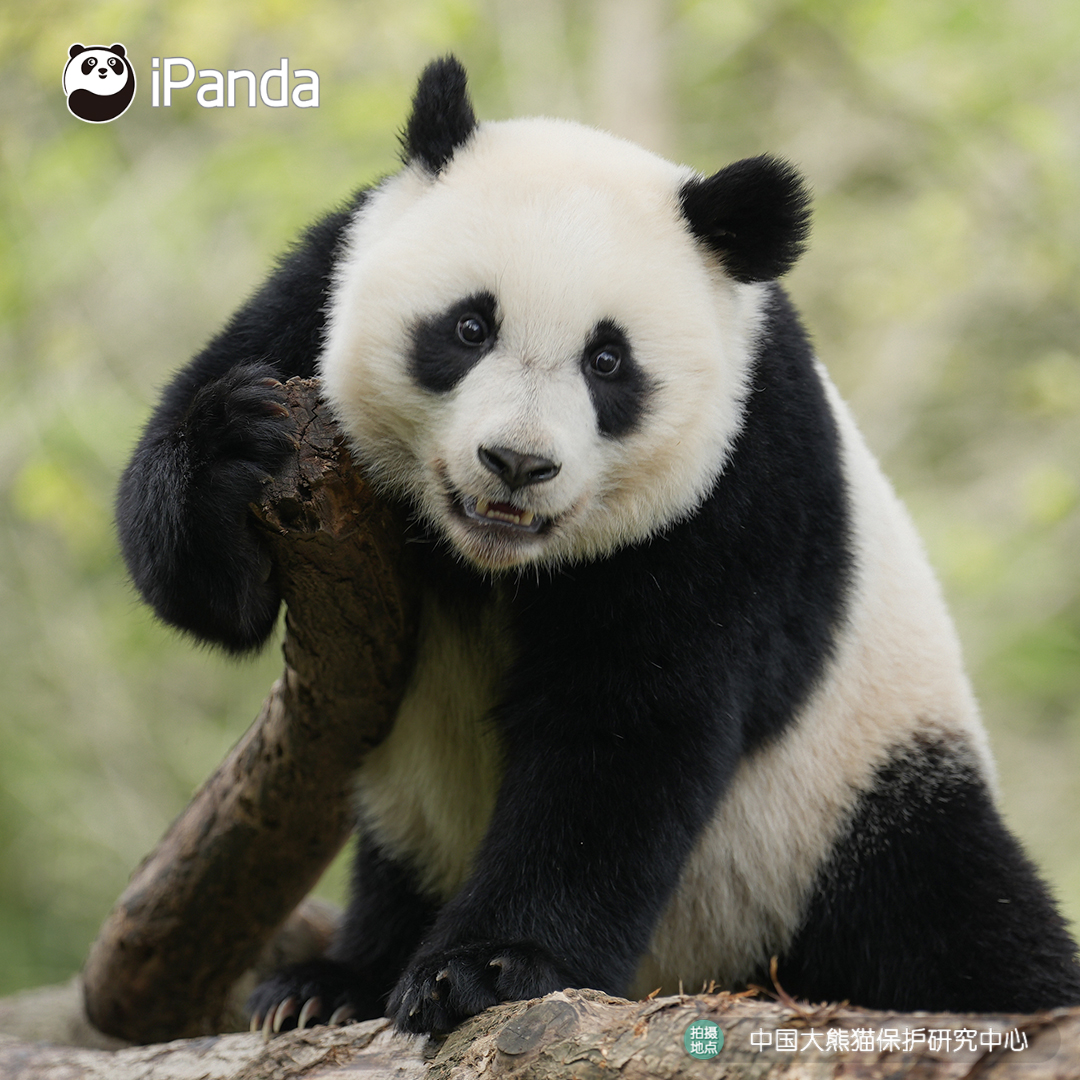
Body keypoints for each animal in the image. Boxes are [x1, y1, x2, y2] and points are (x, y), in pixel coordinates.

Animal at [116, 56, 1080, 1034]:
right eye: (470, 327)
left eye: (608, 362)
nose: (516, 463)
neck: (493, 564)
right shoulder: (314, 291)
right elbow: (201, 585)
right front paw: (234, 449)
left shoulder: (742, 482)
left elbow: (627, 722)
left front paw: (482, 971)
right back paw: (324, 988)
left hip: (847, 796)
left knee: (959, 913)